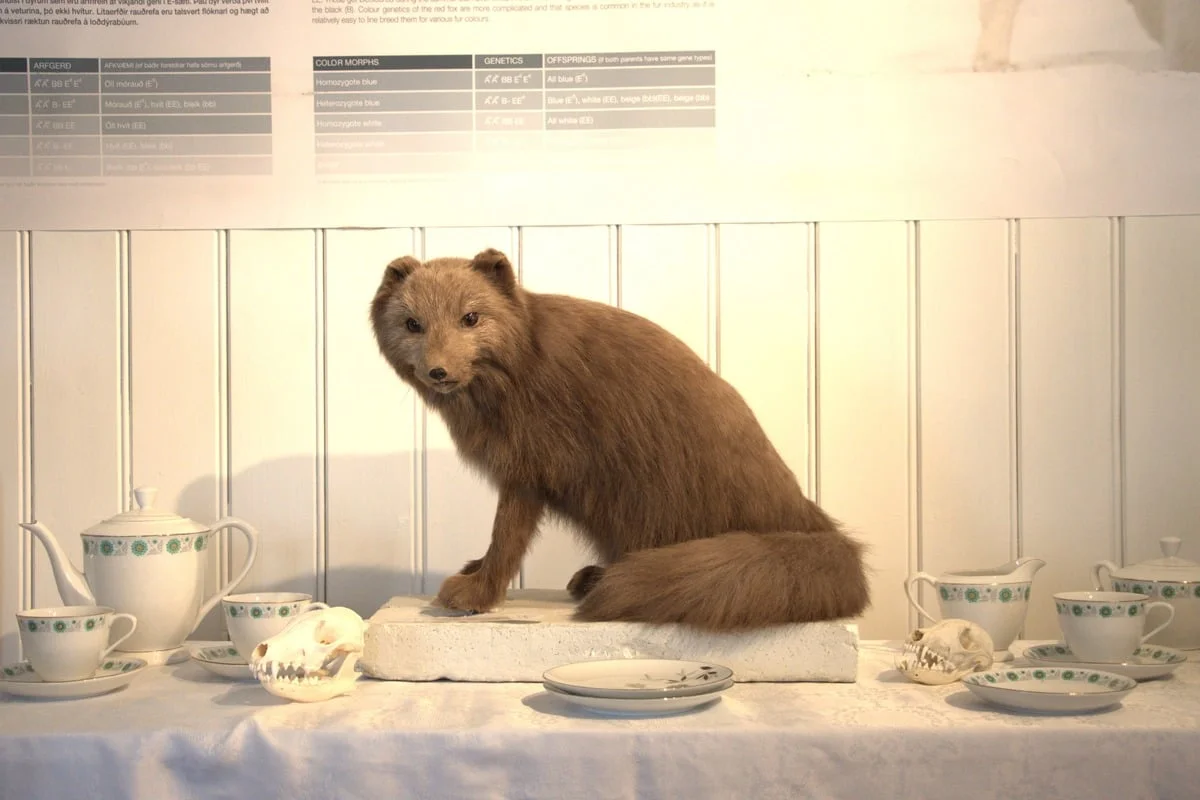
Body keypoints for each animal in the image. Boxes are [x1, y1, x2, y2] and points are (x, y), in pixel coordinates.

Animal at [369, 248, 870, 631]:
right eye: (413, 324)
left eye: (470, 318)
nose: (438, 371)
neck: (520, 360)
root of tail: (808, 520)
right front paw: (474, 572)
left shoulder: (529, 470)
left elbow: (506, 536)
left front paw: (477, 592)